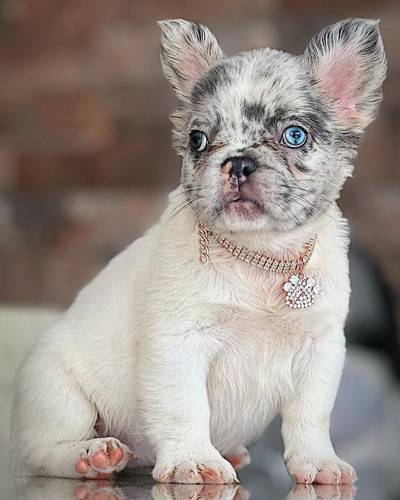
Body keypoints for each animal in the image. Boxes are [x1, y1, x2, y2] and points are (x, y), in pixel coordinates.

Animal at [13, 16, 388, 484]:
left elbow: (310, 417)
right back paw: (93, 455)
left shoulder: (319, 350)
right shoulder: (179, 344)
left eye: (294, 135)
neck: (259, 252)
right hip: (59, 391)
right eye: (197, 140)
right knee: (44, 450)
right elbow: (185, 407)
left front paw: (317, 461)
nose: (239, 162)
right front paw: (193, 460)